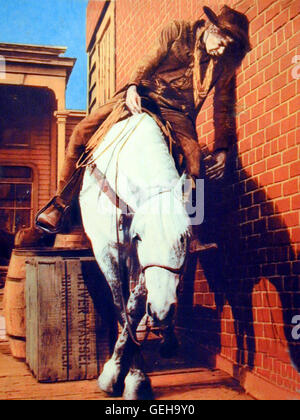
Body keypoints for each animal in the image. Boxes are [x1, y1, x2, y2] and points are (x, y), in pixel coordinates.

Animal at [79, 112, 190, 400]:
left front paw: (135, 378)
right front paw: (117, 375)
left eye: (184, 236)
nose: (163, 310)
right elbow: (122, 308)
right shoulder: (107, 250)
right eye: (139, 236)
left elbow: (136, 306)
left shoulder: (141, 265)